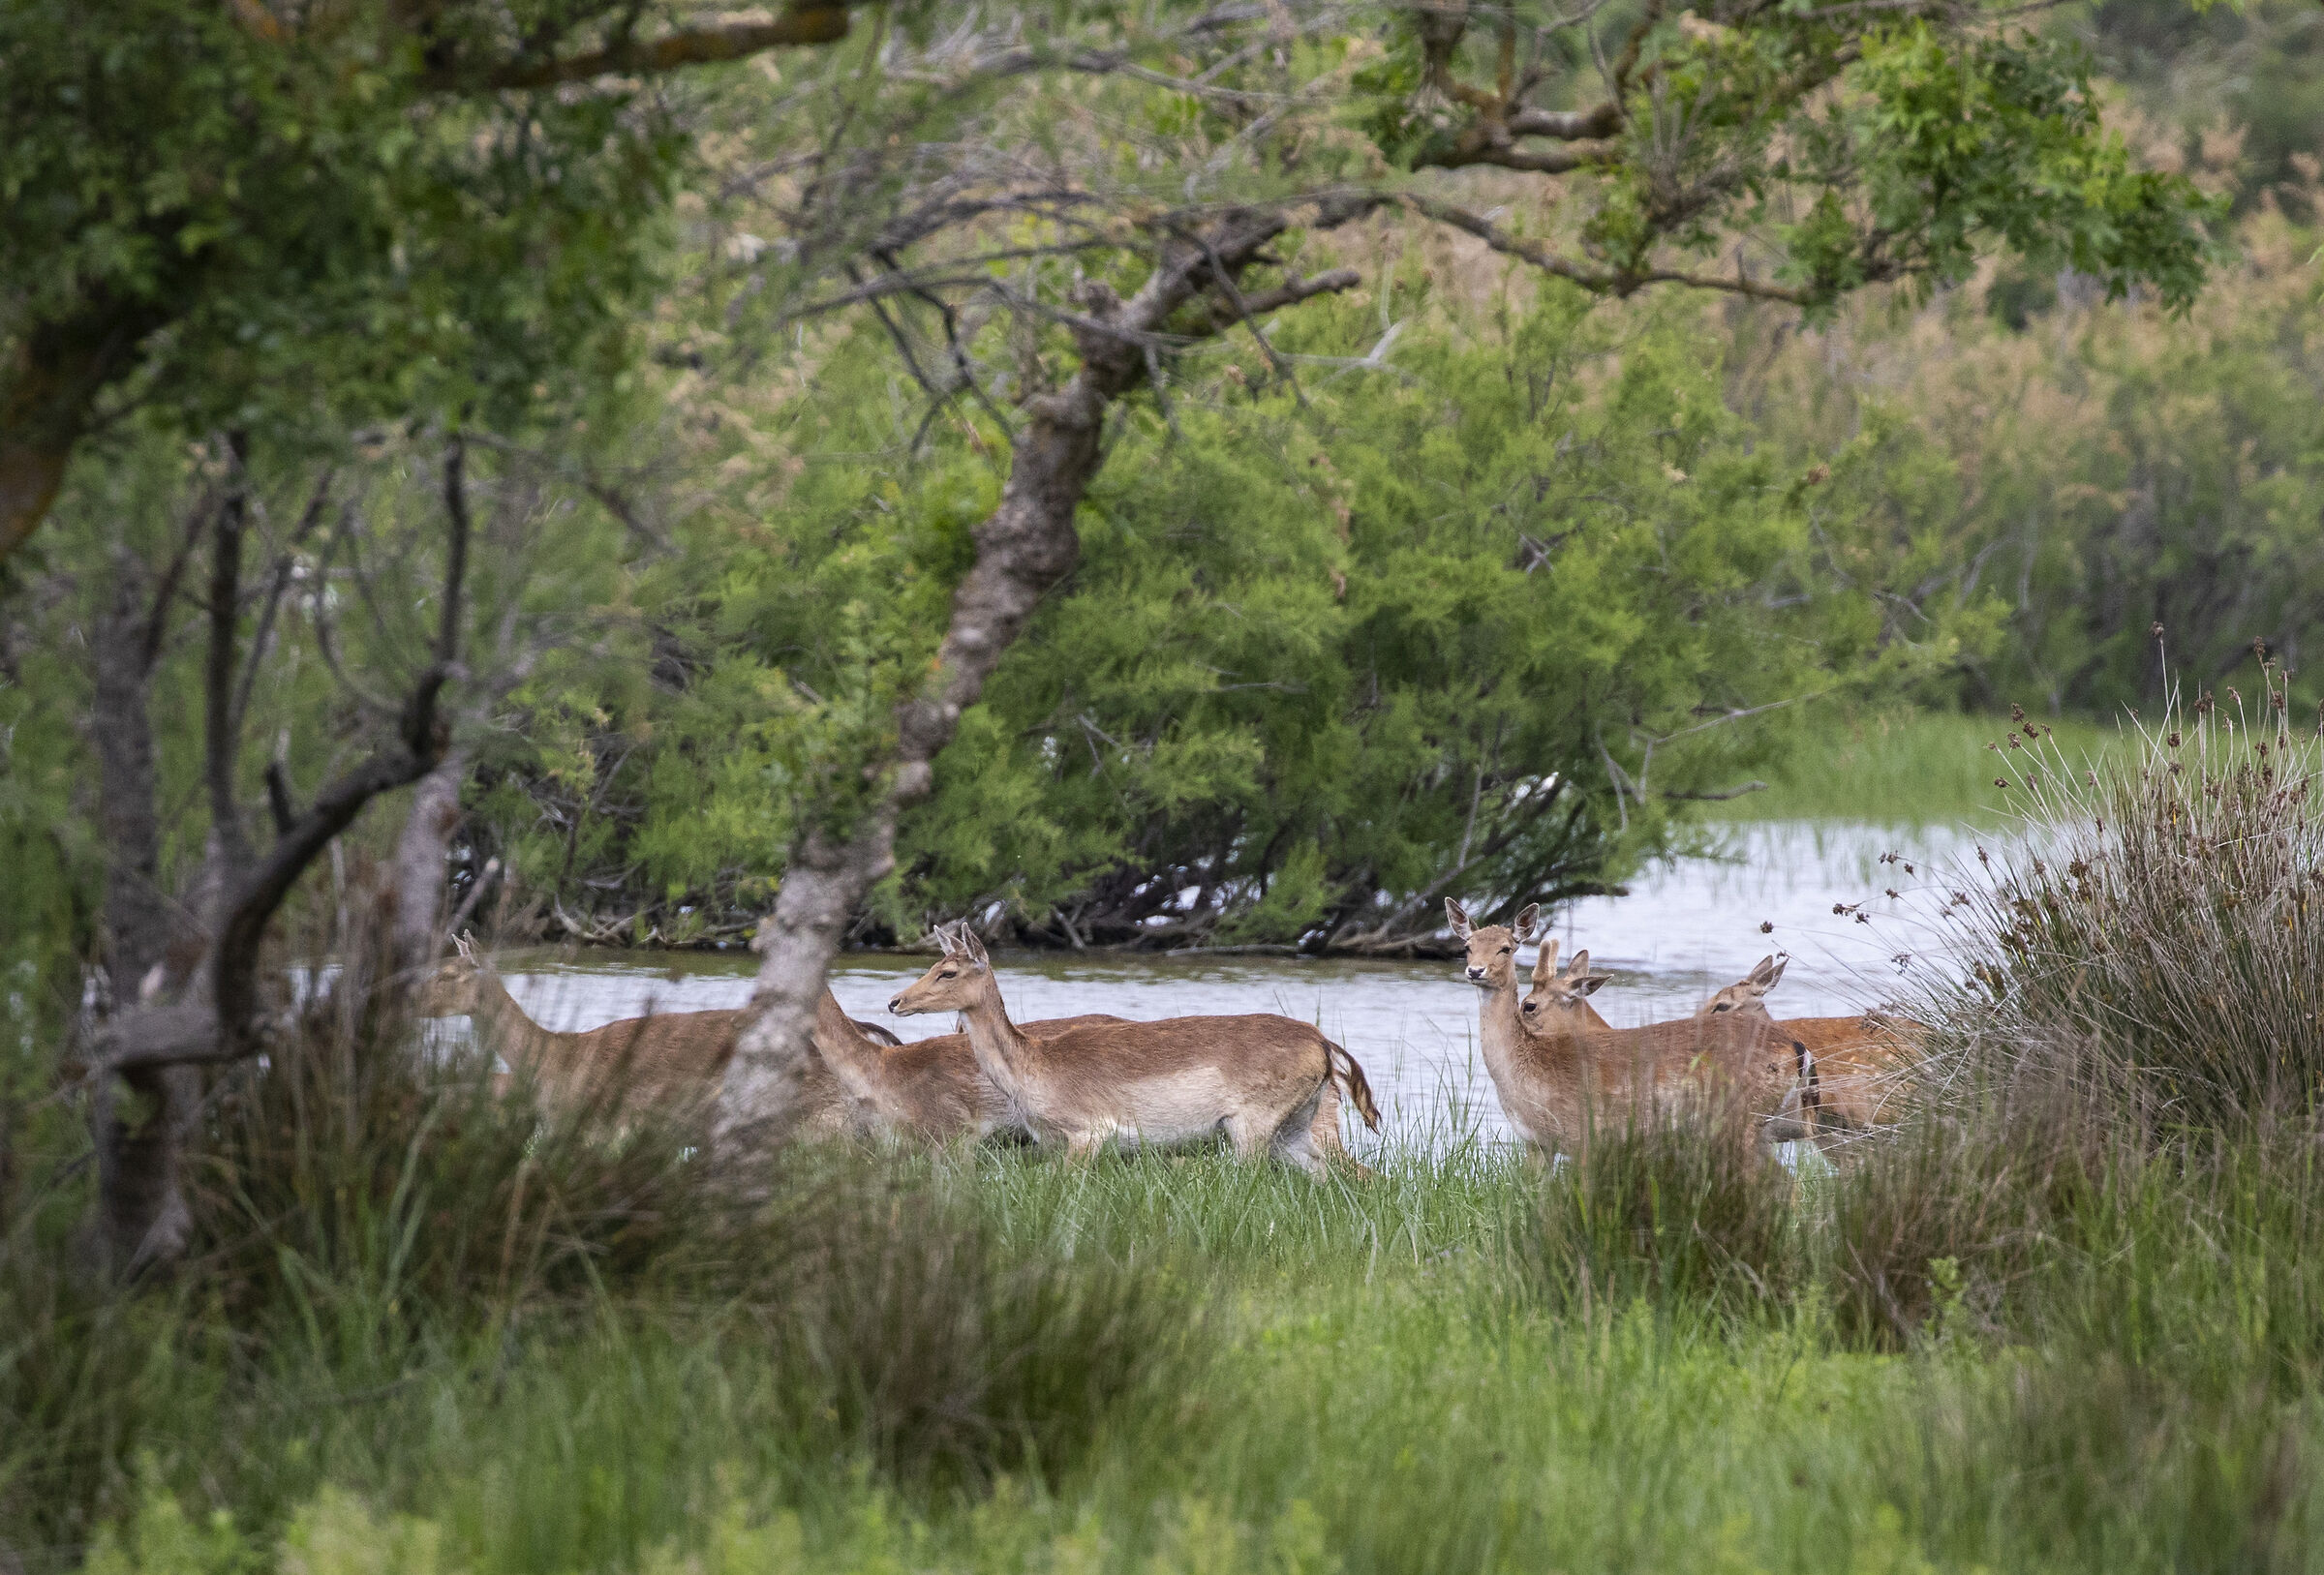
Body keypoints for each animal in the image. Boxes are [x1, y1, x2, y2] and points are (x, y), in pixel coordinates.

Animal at [886, 921, 1380, 1171]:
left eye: (948, 971)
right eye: (932, 963)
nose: (895, 1001)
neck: (1035, 1066)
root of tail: (1323, 1042)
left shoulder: (1088, 1133)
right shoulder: (1047, 1142)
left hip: (1252, 1126)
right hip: (1295, 1131)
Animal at [1447, 898, 1806, 1158]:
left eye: (1506, 947)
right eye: (1467, 946)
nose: (1475, 970)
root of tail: (1796, 1050)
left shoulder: (1584, 1136)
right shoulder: (1535, 1144)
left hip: (1741, 1120)